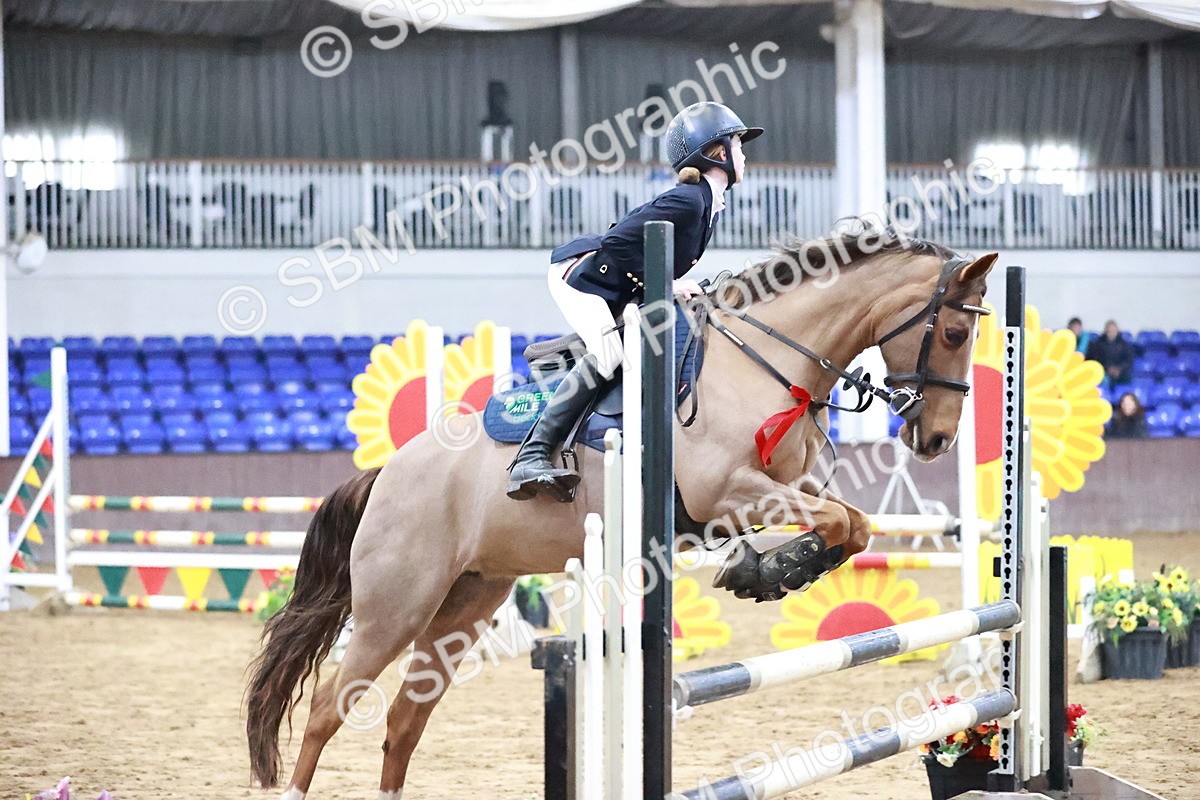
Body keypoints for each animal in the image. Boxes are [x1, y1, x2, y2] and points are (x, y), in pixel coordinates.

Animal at [245, 230, 996, 798]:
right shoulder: (726, 490)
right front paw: (768, 571)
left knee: (405, 718)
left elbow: (853, 525)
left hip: (464, 604)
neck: (767, 358)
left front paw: (765, 571)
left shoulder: (785, 486)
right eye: (955, 332)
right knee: (328, 707)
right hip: (396, 605)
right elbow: (839, 525)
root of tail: (388, 473)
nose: (936, 440)